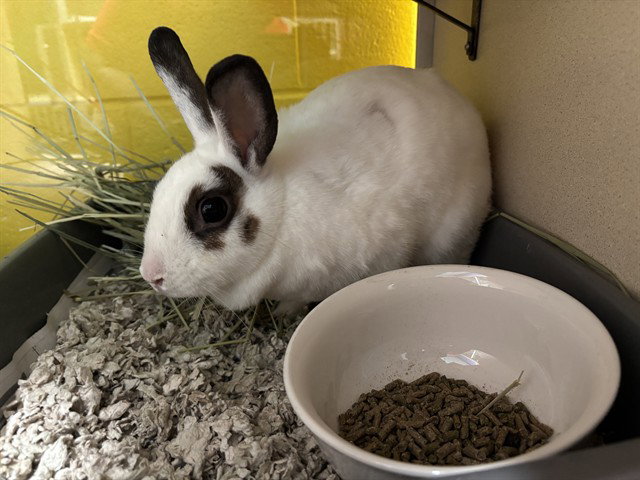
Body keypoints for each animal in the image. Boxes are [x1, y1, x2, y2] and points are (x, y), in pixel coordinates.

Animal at [139, 26, 492, 314]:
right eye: (157, 191)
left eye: (212, 209)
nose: (151, 275)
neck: (282, 212)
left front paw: (286, 312)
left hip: (453, 234)